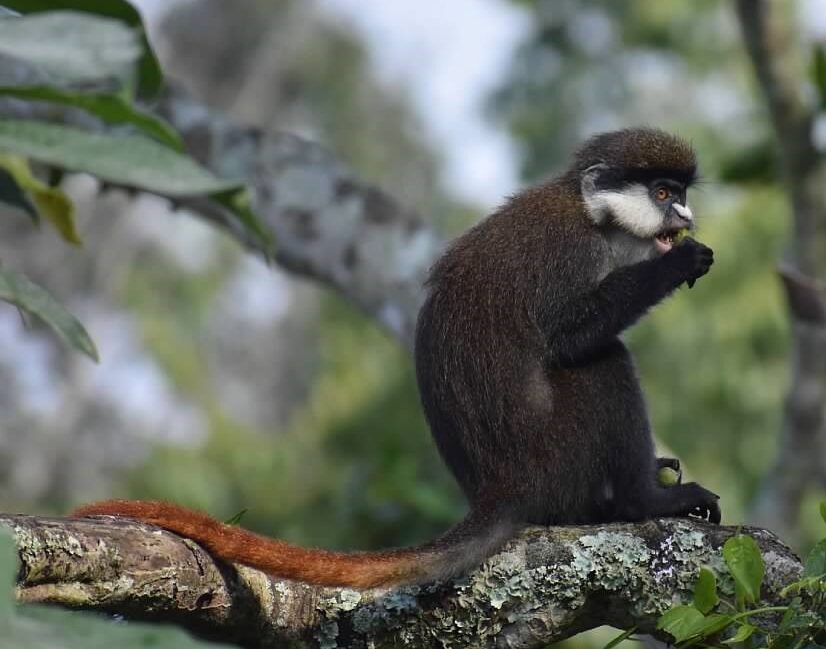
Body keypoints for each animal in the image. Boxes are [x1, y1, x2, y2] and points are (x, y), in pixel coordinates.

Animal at [73, 127, 721, 590]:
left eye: (681, 193)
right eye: (664, 193)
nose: (685, 218)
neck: (596, 218)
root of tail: (504, 491)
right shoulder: (573, 253)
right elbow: (569, 339)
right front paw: (677, 264)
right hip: (558, 454)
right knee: (605, 361)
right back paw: (641, 501)